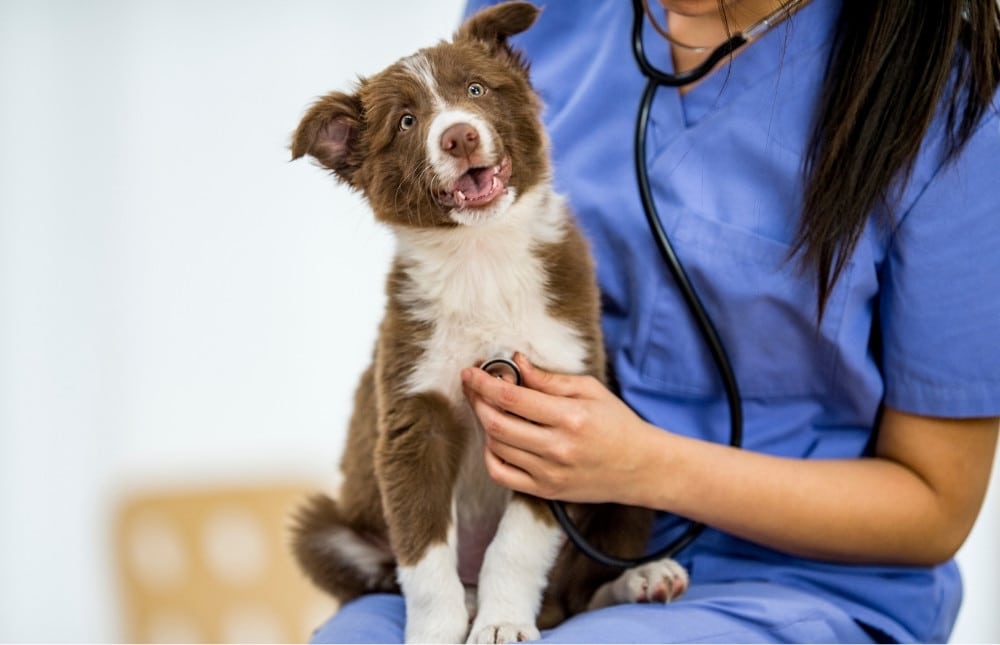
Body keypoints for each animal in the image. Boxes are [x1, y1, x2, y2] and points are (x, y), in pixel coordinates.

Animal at [292, 2, 688, 640]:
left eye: (476, 90)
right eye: (407, 122)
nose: (459, 135)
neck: (481, 259)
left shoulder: (555, 410)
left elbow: (518, 544)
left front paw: (504, 623)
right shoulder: (414, 417)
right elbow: (424, 556)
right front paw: (438, 630)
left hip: (631, 462)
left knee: (578, 593)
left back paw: (640, 580)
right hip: (323, 528)